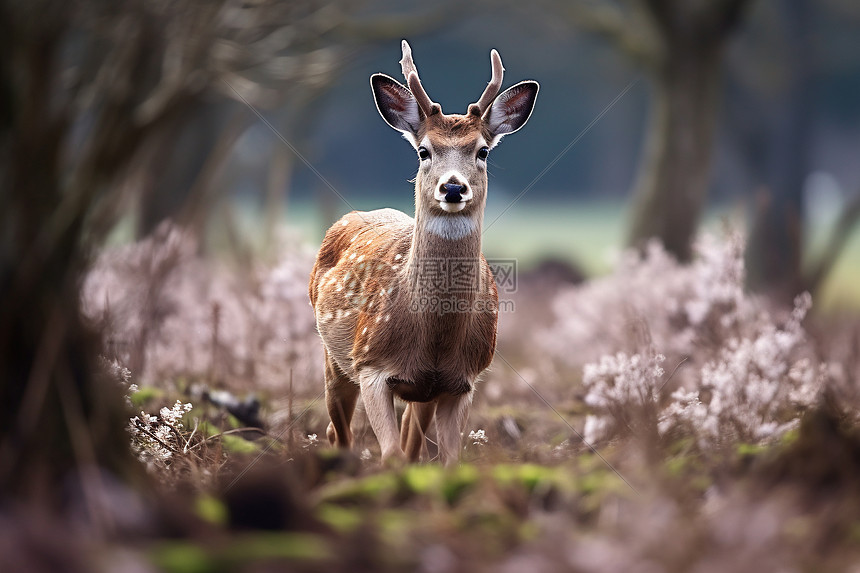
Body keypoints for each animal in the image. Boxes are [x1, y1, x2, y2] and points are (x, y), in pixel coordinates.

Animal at [310, 40, 536, 462]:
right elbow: (391, 455)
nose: (453, 187)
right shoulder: (371, 366)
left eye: (482, 151)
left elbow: (447, 459)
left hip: (421, 393)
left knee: (407, 438)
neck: (432, 337)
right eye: (424, 152)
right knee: (338, 431)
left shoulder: (462, 381)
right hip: (333, 356)